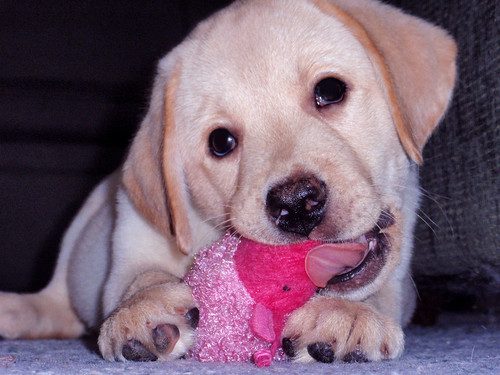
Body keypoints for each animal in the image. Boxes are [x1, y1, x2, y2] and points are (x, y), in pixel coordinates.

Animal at [0, 0, 458, 364]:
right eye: (221, 142)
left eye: (330, 90)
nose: (296, 203)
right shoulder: (132, 235)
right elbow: (138, 277)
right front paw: (143, 308)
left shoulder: (398, 280)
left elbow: (380, 290)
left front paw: (344, 313)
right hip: (87, 214)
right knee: (56, 300)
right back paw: (18, 311)